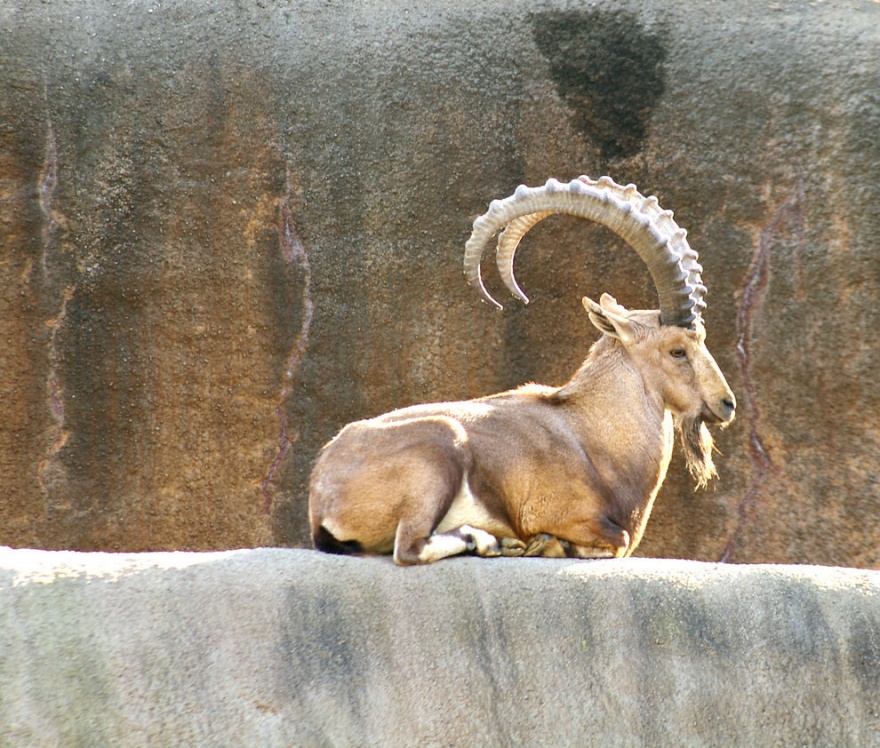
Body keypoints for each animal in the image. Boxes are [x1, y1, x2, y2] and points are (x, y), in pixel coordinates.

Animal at [310, 177, 736, 560]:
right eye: (677, 350)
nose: (727, 404)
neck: (594, 433)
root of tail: (321, 495)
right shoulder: (564, 514)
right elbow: (617, 540)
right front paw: (549, 544)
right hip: (440, 449)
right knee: (409, 549)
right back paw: (492, 541)